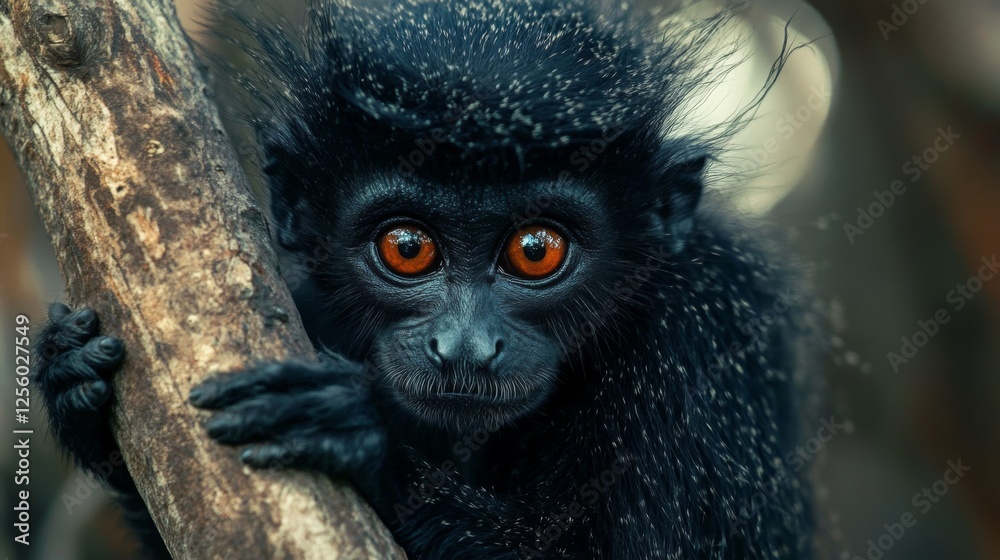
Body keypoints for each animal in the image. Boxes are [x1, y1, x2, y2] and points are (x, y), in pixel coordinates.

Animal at [33, 0, 818, 558]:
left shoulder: (702, 341)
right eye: (407, 247)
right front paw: (73, 377)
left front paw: (362, 434)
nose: (465, 347)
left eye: (536, 250)